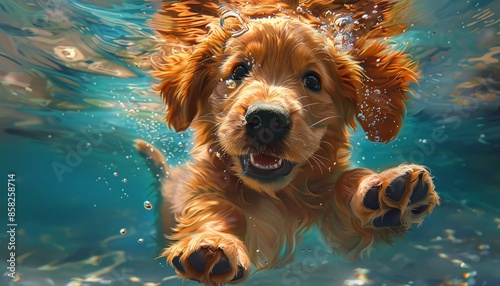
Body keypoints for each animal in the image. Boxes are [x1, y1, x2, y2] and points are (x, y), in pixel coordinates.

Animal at [136, 1, 438, 284]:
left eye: (313, 80)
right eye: (238, 71)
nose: (267, 119)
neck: (275, 196)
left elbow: (345, 182)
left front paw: (381, 187)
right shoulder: (204, 188)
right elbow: (219, 209)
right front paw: (213, 241)